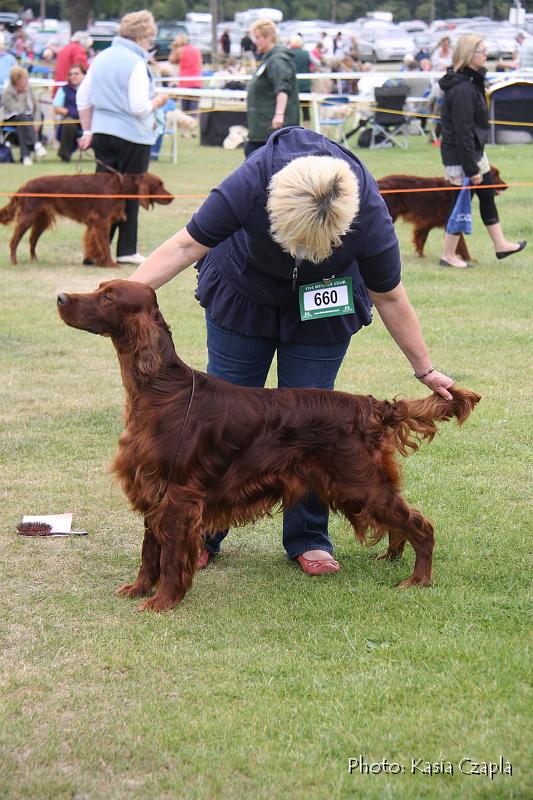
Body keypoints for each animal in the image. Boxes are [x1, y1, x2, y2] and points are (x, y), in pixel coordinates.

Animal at [0, 171, 171, 266]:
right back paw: (14, 262)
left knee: (32, 240)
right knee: (14, 241)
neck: (120, 186)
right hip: (27, 217)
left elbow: (96, 244)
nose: (172, 197)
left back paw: (35, 260)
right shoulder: (101, 221)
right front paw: (110, 264)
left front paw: (100, 262)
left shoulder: (97, 223)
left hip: (41, 219)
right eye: (159, 185)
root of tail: (24, 186)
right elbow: (105, 245)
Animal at [56, 282, 480, 612]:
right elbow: (149, 551)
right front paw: (138, 588)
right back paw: (392, 557)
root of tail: (371, 406)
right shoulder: (151, 489)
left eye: (108, 296)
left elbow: (171, 556)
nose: (60, 297)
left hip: (359, 483)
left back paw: (418, 579)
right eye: (99, 288)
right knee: (400, 521)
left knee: (420, 523)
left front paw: (162, 601)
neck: (162, 390)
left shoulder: (177, 496)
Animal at [376, 166, 504, 260]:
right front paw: (468, 258)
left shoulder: (427, 222)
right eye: (495, 175)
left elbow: (421, 237)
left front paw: (421, 254)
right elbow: (460, 242)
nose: (505, 186)